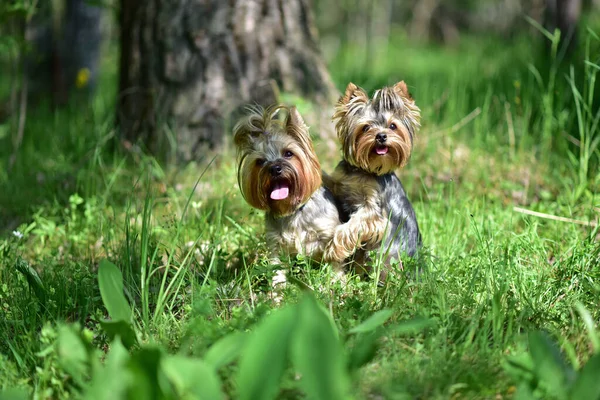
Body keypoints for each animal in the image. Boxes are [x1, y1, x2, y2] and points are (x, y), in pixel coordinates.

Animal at [233, 104, 356, 274]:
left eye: (288, 153)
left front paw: (337, 279)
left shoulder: (327, 233)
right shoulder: (275, 243)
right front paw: (278, 282)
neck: (293, 210)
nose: (274, 168)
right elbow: (277, 268)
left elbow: (335, 260)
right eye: (260, 161)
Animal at [328, 83, 422, 276]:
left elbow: (356, 222)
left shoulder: (373, 211)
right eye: (365, 128)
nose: (381, 136)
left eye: (393, 126)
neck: (363, 170)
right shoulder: (339, 184)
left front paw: (335, 247)